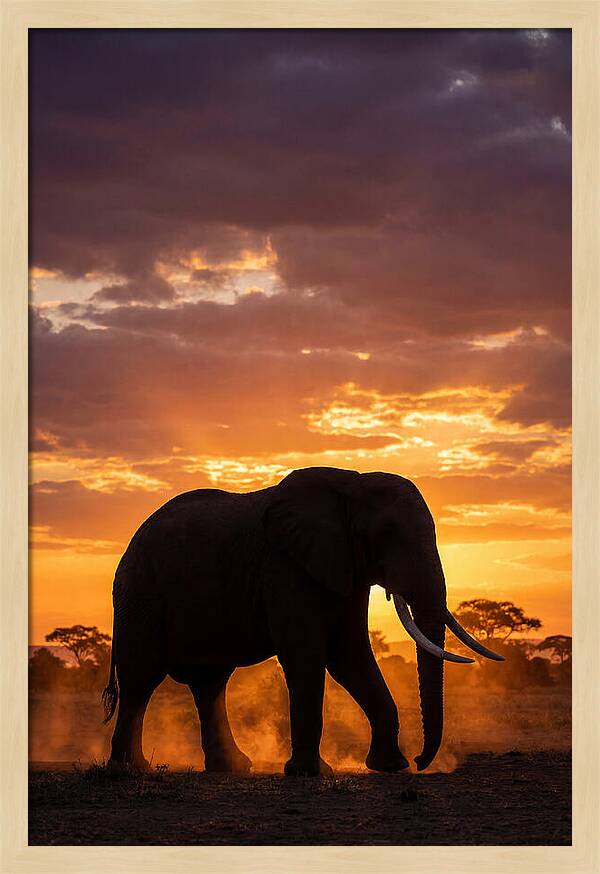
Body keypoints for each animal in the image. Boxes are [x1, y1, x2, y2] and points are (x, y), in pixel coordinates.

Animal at [102, 466, 502, 776]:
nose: (421, 761)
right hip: (140, 593)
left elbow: (350, 655)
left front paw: (391, 767)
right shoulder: (284, 566)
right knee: (141, 680)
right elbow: (308, 654)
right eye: (385, 534)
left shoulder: (343, 567)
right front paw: (309, 772)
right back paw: (129, 769)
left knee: (209, 683)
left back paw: (232, 767)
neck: (351, 484)